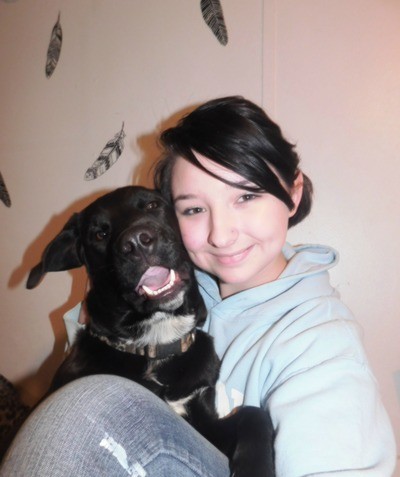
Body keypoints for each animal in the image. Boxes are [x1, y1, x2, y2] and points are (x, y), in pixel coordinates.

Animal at [27, 185, 275, 477]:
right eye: (99, 234)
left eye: (152, 205)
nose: (137, 241)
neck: (155, 343)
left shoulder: (205, 420)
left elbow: (254, 414)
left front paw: (257, 466)